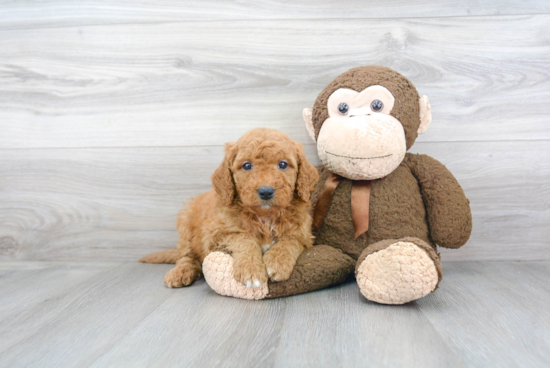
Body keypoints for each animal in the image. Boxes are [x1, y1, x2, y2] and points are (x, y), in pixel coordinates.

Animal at [141, 128, 320, 288]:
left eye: (283, 164)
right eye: (247, 166)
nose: (266, 191)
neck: (265, 216)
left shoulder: (304, 233)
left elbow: (290, 240)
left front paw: (277, 262)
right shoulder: (215, 233)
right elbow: (243, 238)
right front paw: (251, 270)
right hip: (185, 223)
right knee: (186, 255)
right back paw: (181, 272)